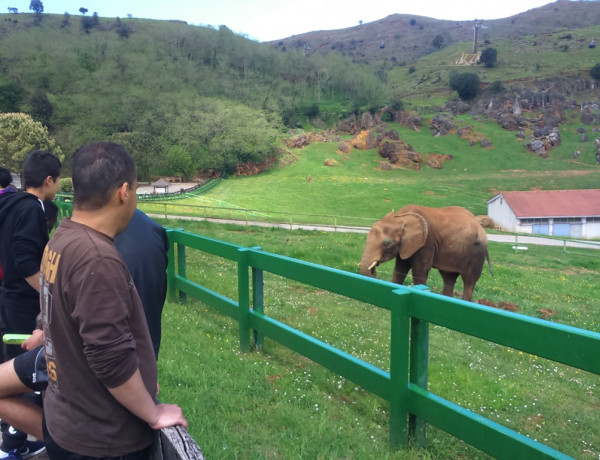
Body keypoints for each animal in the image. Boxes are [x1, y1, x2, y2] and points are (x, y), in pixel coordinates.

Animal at [358, 206, 490, 302]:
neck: (401, 217)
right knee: (449, 277)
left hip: (477, 253)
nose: (373, 270)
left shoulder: (427, 241)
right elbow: (400, 268)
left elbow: (420, 269)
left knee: (469, 281)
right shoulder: (406, 245)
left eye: (386, 244)